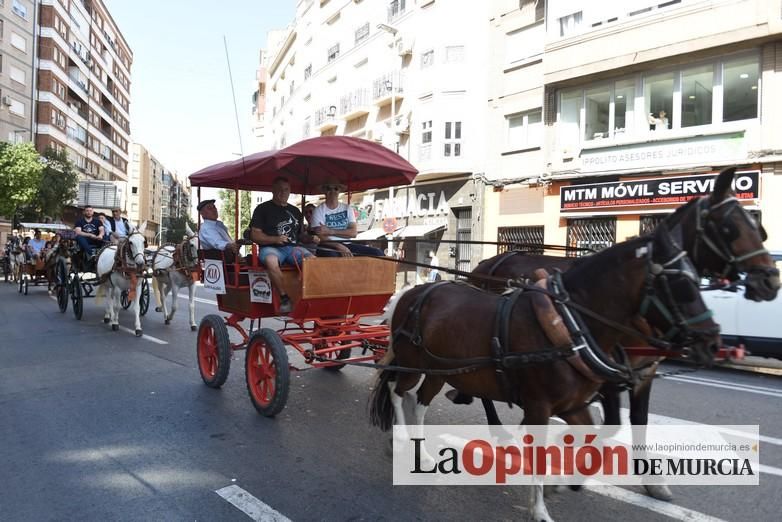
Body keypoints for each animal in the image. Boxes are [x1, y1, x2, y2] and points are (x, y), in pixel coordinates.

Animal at [374, 225, 724, 520]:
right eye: (680, 284)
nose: (713, 340)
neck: (569, 325)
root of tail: (412, 293)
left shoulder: (574, 405)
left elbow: (594, 439)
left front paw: (566, 481)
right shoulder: (541, 407)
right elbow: (544, 454)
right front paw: (540, 508)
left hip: (440, 370)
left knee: (420, 401)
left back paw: (422, 452)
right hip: (412, 363)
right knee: (397, 390)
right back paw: (400, 438)